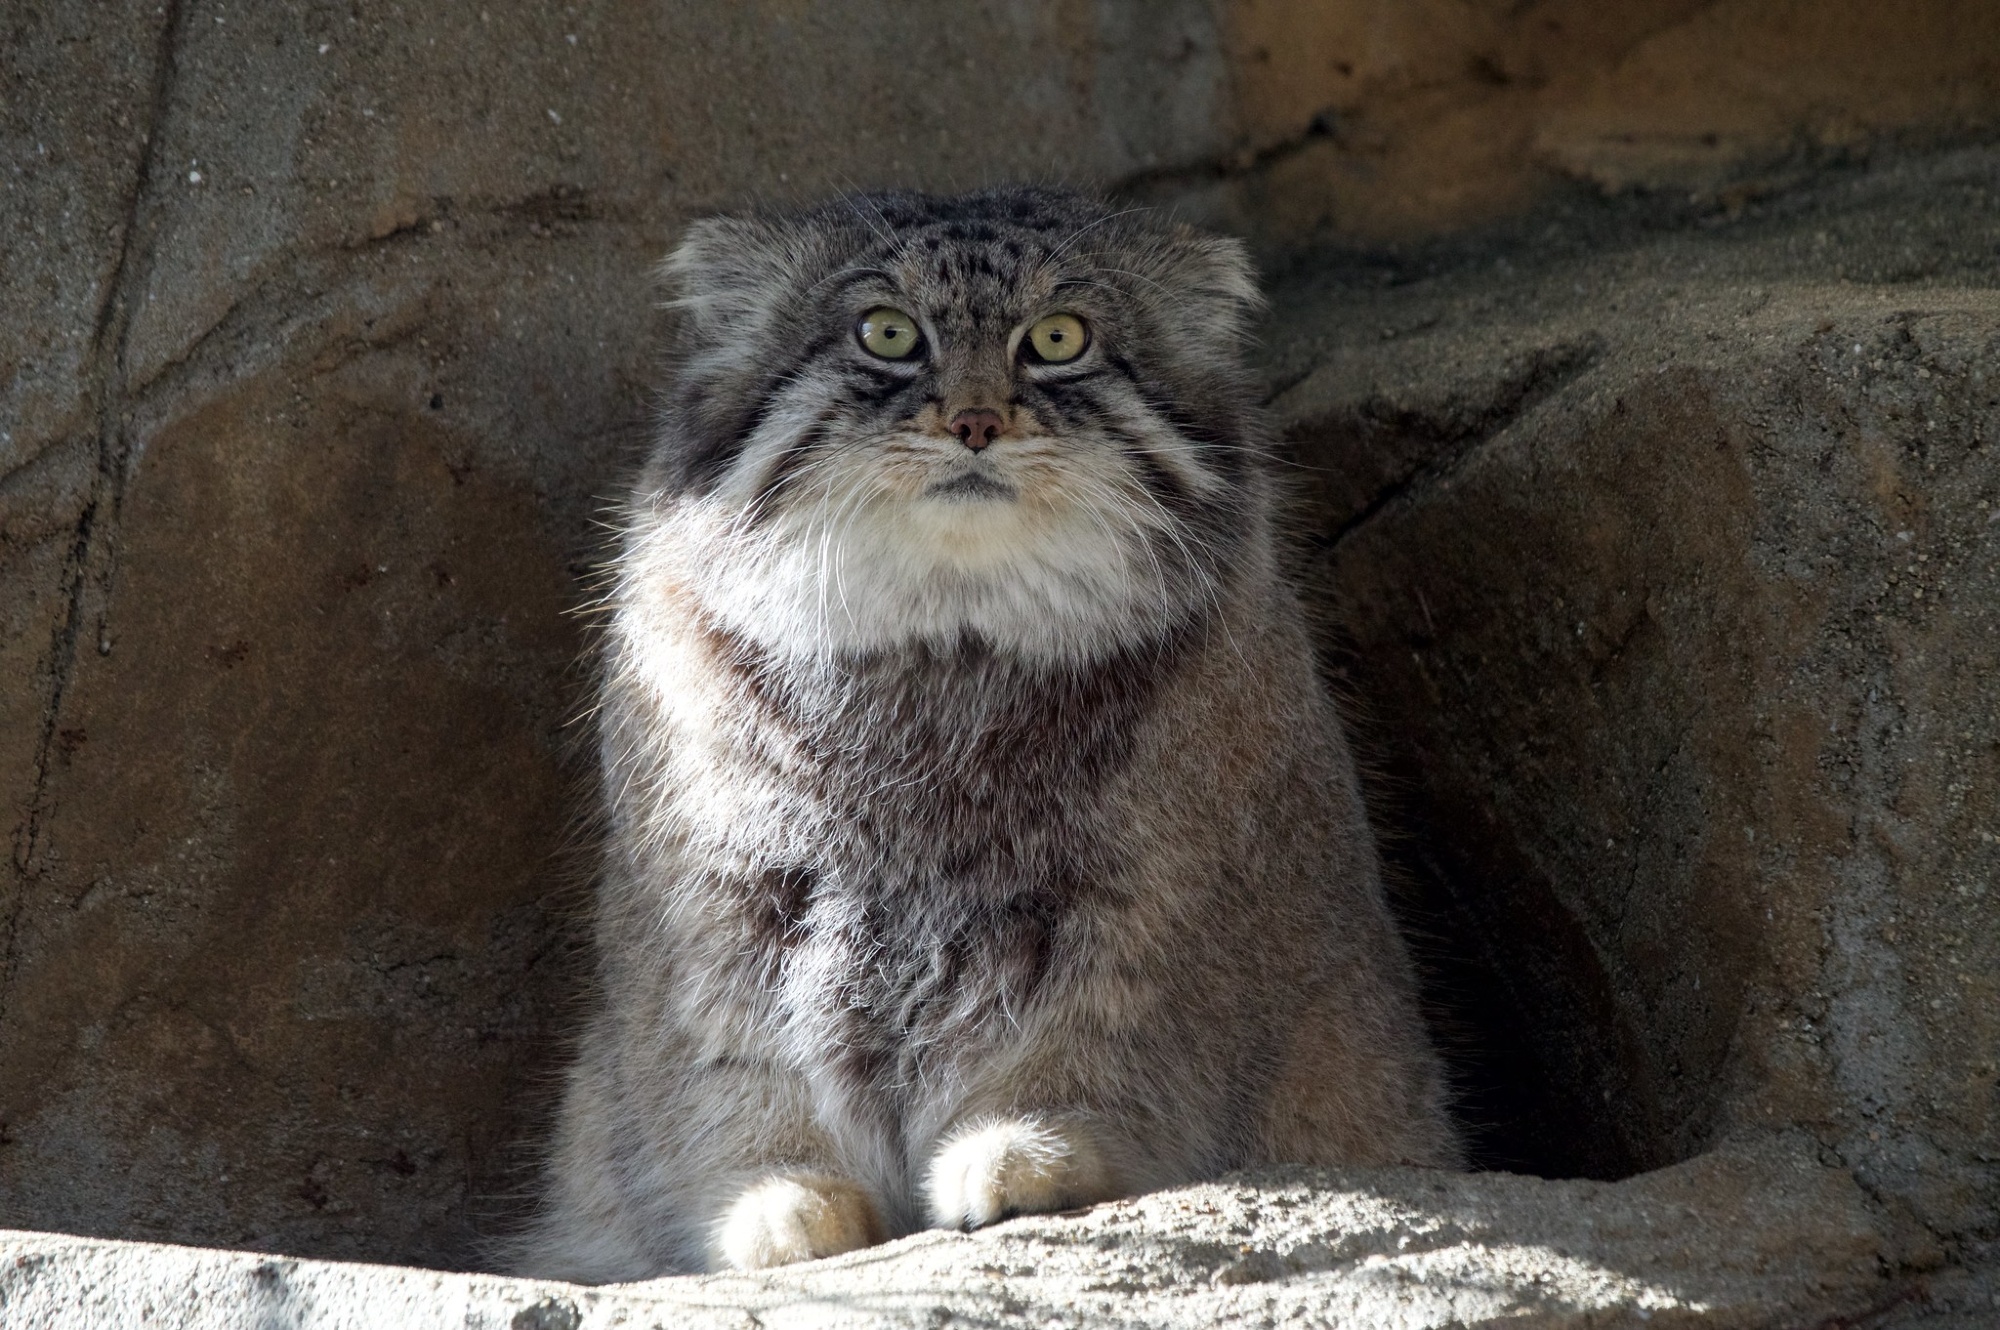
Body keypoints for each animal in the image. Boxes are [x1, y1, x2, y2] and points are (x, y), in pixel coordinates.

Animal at [515, 187, 1460, 1281]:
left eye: (1058, 339)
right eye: (886, 334)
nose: (975, 422)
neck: (946, 661)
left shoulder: (1155, 905)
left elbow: (1091, 1042)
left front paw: (1030, 1149)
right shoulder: (712, 905)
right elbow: (729, 1068)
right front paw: (777, 1200)